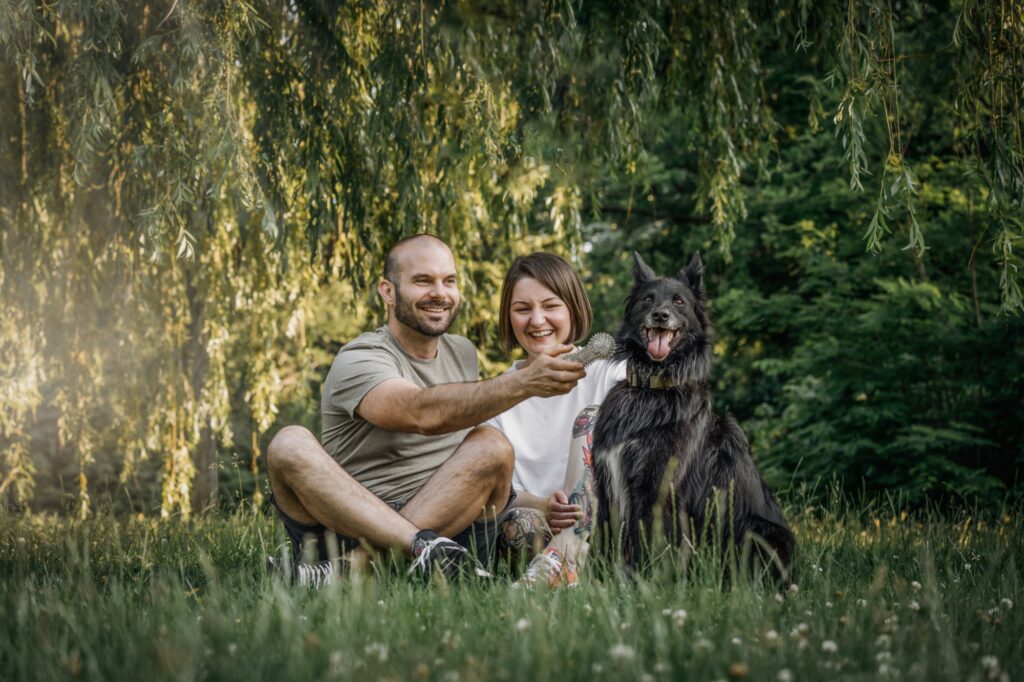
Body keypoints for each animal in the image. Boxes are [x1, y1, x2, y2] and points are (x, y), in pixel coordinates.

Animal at [591, 252, 795, 584]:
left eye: (679, 301)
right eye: (648, 299)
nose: (660, 315)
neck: (652, 388)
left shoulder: (658, 491)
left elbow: (652, 548)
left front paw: (647, 586)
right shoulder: (606, 487)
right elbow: (602, 542)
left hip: (761, 532)